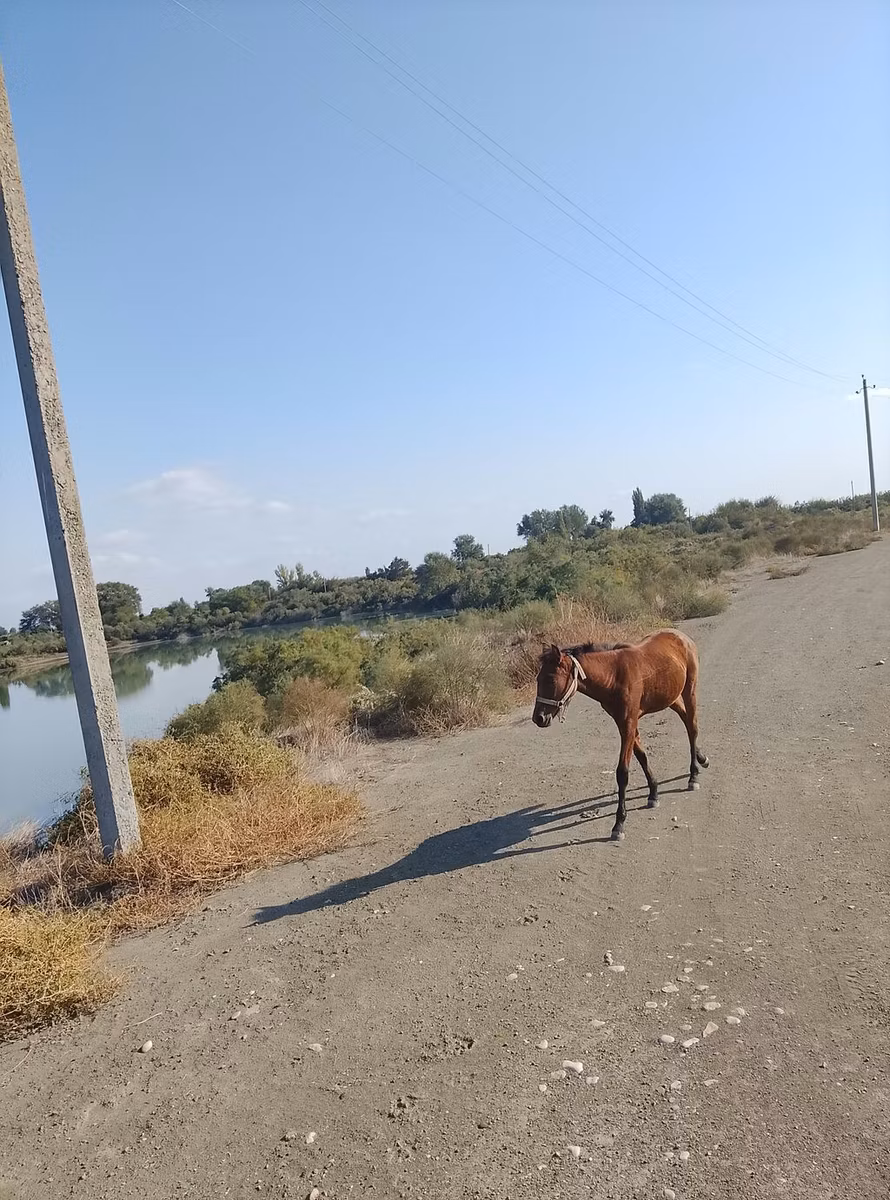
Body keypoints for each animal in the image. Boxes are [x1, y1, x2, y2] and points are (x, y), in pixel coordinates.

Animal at [532, 630, 709, 841]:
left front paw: (619, 823)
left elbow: (622, 772)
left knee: (692, 728)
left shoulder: (628, 723)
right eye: (538, 679)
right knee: (687, 721)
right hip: (671, 696)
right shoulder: (625, 723)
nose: (538, 718)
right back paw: (702, 759)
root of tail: (682, 636)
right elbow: (642, 756)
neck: (614, 675)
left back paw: (693, 775)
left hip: (689, 691)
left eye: (550, 680)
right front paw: (653, 793)